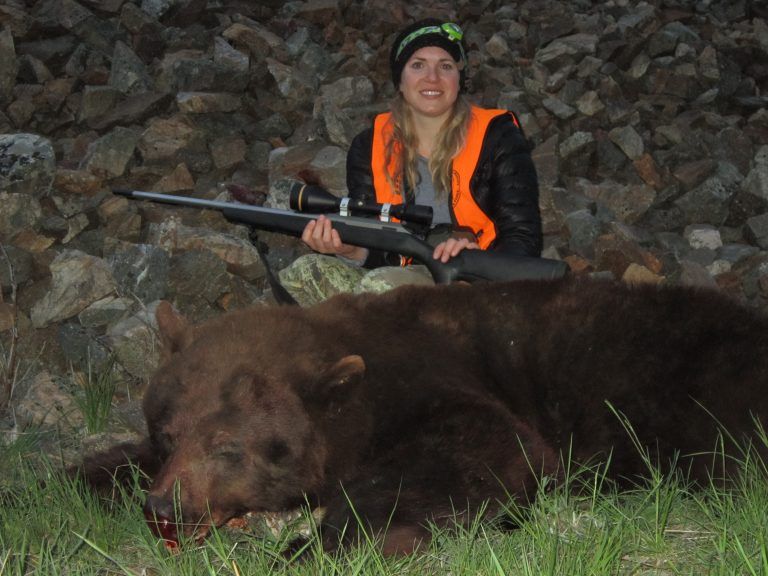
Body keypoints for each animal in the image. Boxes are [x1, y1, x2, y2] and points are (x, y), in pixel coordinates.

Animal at [79, 277, 768, 555]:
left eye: (230, 446)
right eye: (167, 433)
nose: (165, 507)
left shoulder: (433, 382)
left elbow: (489, 449)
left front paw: (323, 541)